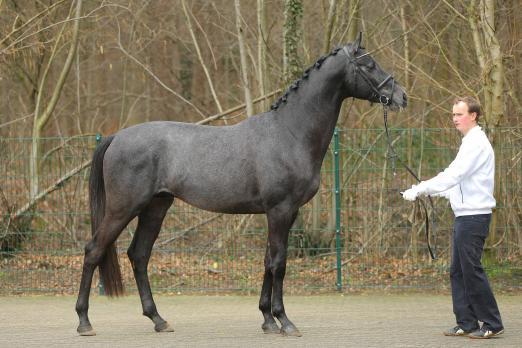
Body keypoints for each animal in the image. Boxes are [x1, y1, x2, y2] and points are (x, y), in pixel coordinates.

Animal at [75, 33, 406, 338]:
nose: (401, 96)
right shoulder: (280, 210)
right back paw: (84, 321)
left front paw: (268, 320)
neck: (289, 133)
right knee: (94, 250)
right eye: (369, 63)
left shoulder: (284, 213)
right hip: (123, 208)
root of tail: (117, 136)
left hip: (156, 206)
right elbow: (280, 263)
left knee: (139, 255)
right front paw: (285, 321)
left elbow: (268, 261)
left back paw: (158, 319)